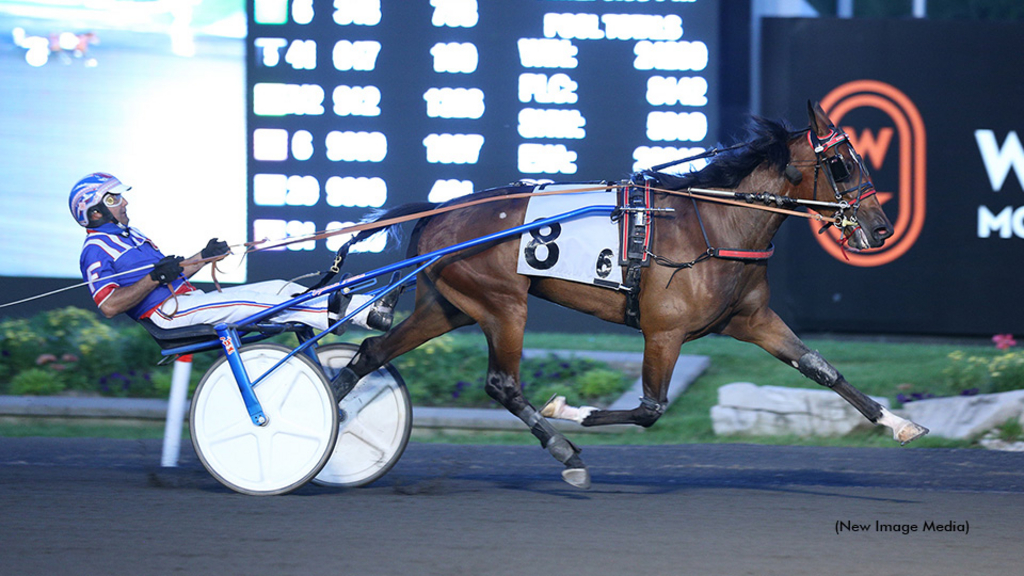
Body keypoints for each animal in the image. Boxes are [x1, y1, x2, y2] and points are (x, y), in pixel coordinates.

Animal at [333, 101, 929, 483]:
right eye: (842, 164)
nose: (881, 228)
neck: (718, 223)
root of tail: (437, 213)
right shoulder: (663, 330)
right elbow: (649, 408)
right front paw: (568, 410)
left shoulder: (752, 319)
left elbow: (821, 368)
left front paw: (900, 423)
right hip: (504, 305)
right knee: (502, 383)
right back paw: (566, 452)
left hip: (451, 306)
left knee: (371, 353)